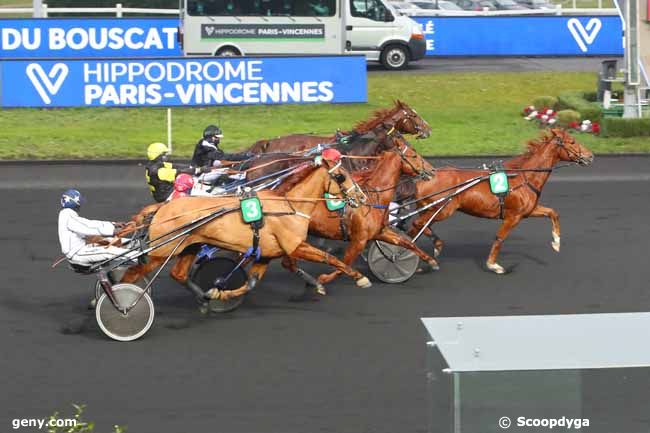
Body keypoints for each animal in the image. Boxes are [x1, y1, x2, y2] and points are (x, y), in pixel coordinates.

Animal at [304, 140, 440, 286]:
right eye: (414, 155)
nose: (432, 170)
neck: (374, 199)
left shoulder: (381, 232)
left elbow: (407, 243)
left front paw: (431, 261)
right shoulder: (359, 241)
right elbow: (344, 264)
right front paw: (324, 279)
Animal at [404, 127, 592, 274]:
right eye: (572, 142)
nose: (590, 156)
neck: (524, 176)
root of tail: (423, 178)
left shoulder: (528, 211)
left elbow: (553, 213)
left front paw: (556, 242)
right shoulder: (513, 217)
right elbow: (499, 238)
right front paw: (493, 265)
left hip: (432, 209)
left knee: (417, 228)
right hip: (442, 209)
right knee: (417, 225)